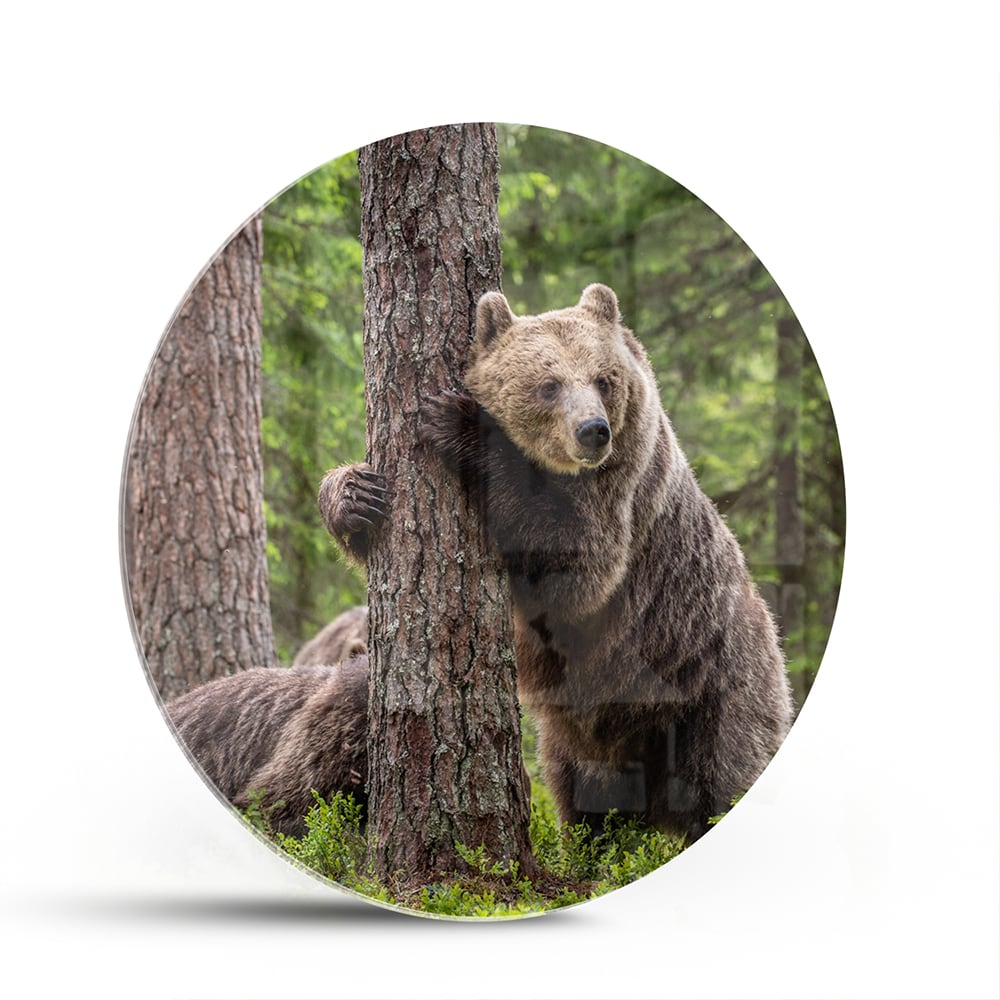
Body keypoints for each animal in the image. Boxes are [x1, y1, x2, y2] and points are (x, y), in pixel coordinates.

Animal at [319, 283, 792, 842]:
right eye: (549, 385)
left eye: (603, 380)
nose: (593, 430)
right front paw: (356, 496)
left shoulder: (621, 500)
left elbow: (575, 567)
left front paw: (461, 424)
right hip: (586, 732)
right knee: (588, 796)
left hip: (711, 685)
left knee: (727, 775)